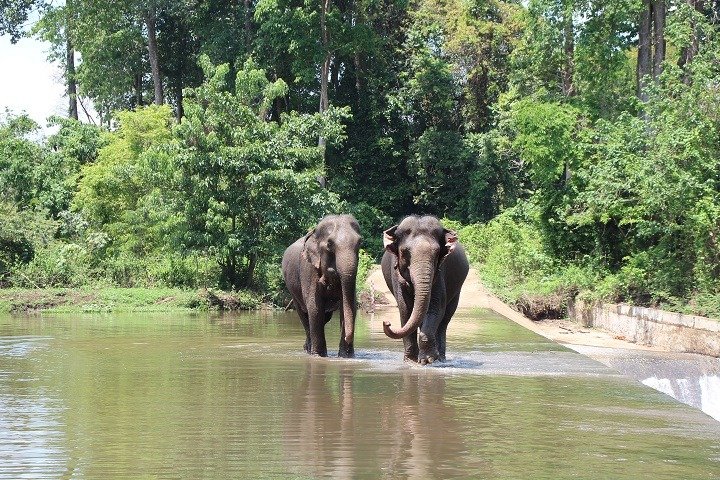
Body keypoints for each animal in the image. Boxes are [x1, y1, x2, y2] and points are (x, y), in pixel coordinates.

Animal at [282, 214, 360, 356]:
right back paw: (308, 349)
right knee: (304, 316)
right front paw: (318, 356)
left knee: (324, 318)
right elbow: (315, 307)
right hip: (293, 292)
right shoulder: (309, 269)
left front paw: (346, 356)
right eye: (329, 244)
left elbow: (349, 306)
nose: (348, 338)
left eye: (360, 243)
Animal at [380, 215, 470, 364]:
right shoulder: (397, 276)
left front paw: (427, 360)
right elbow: (405, 309)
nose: (386, 322)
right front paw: (410, 360)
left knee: (444, 321)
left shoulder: (440, 272)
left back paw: (441, 358)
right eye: (404, 252)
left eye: (437, 253)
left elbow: (435, 307)